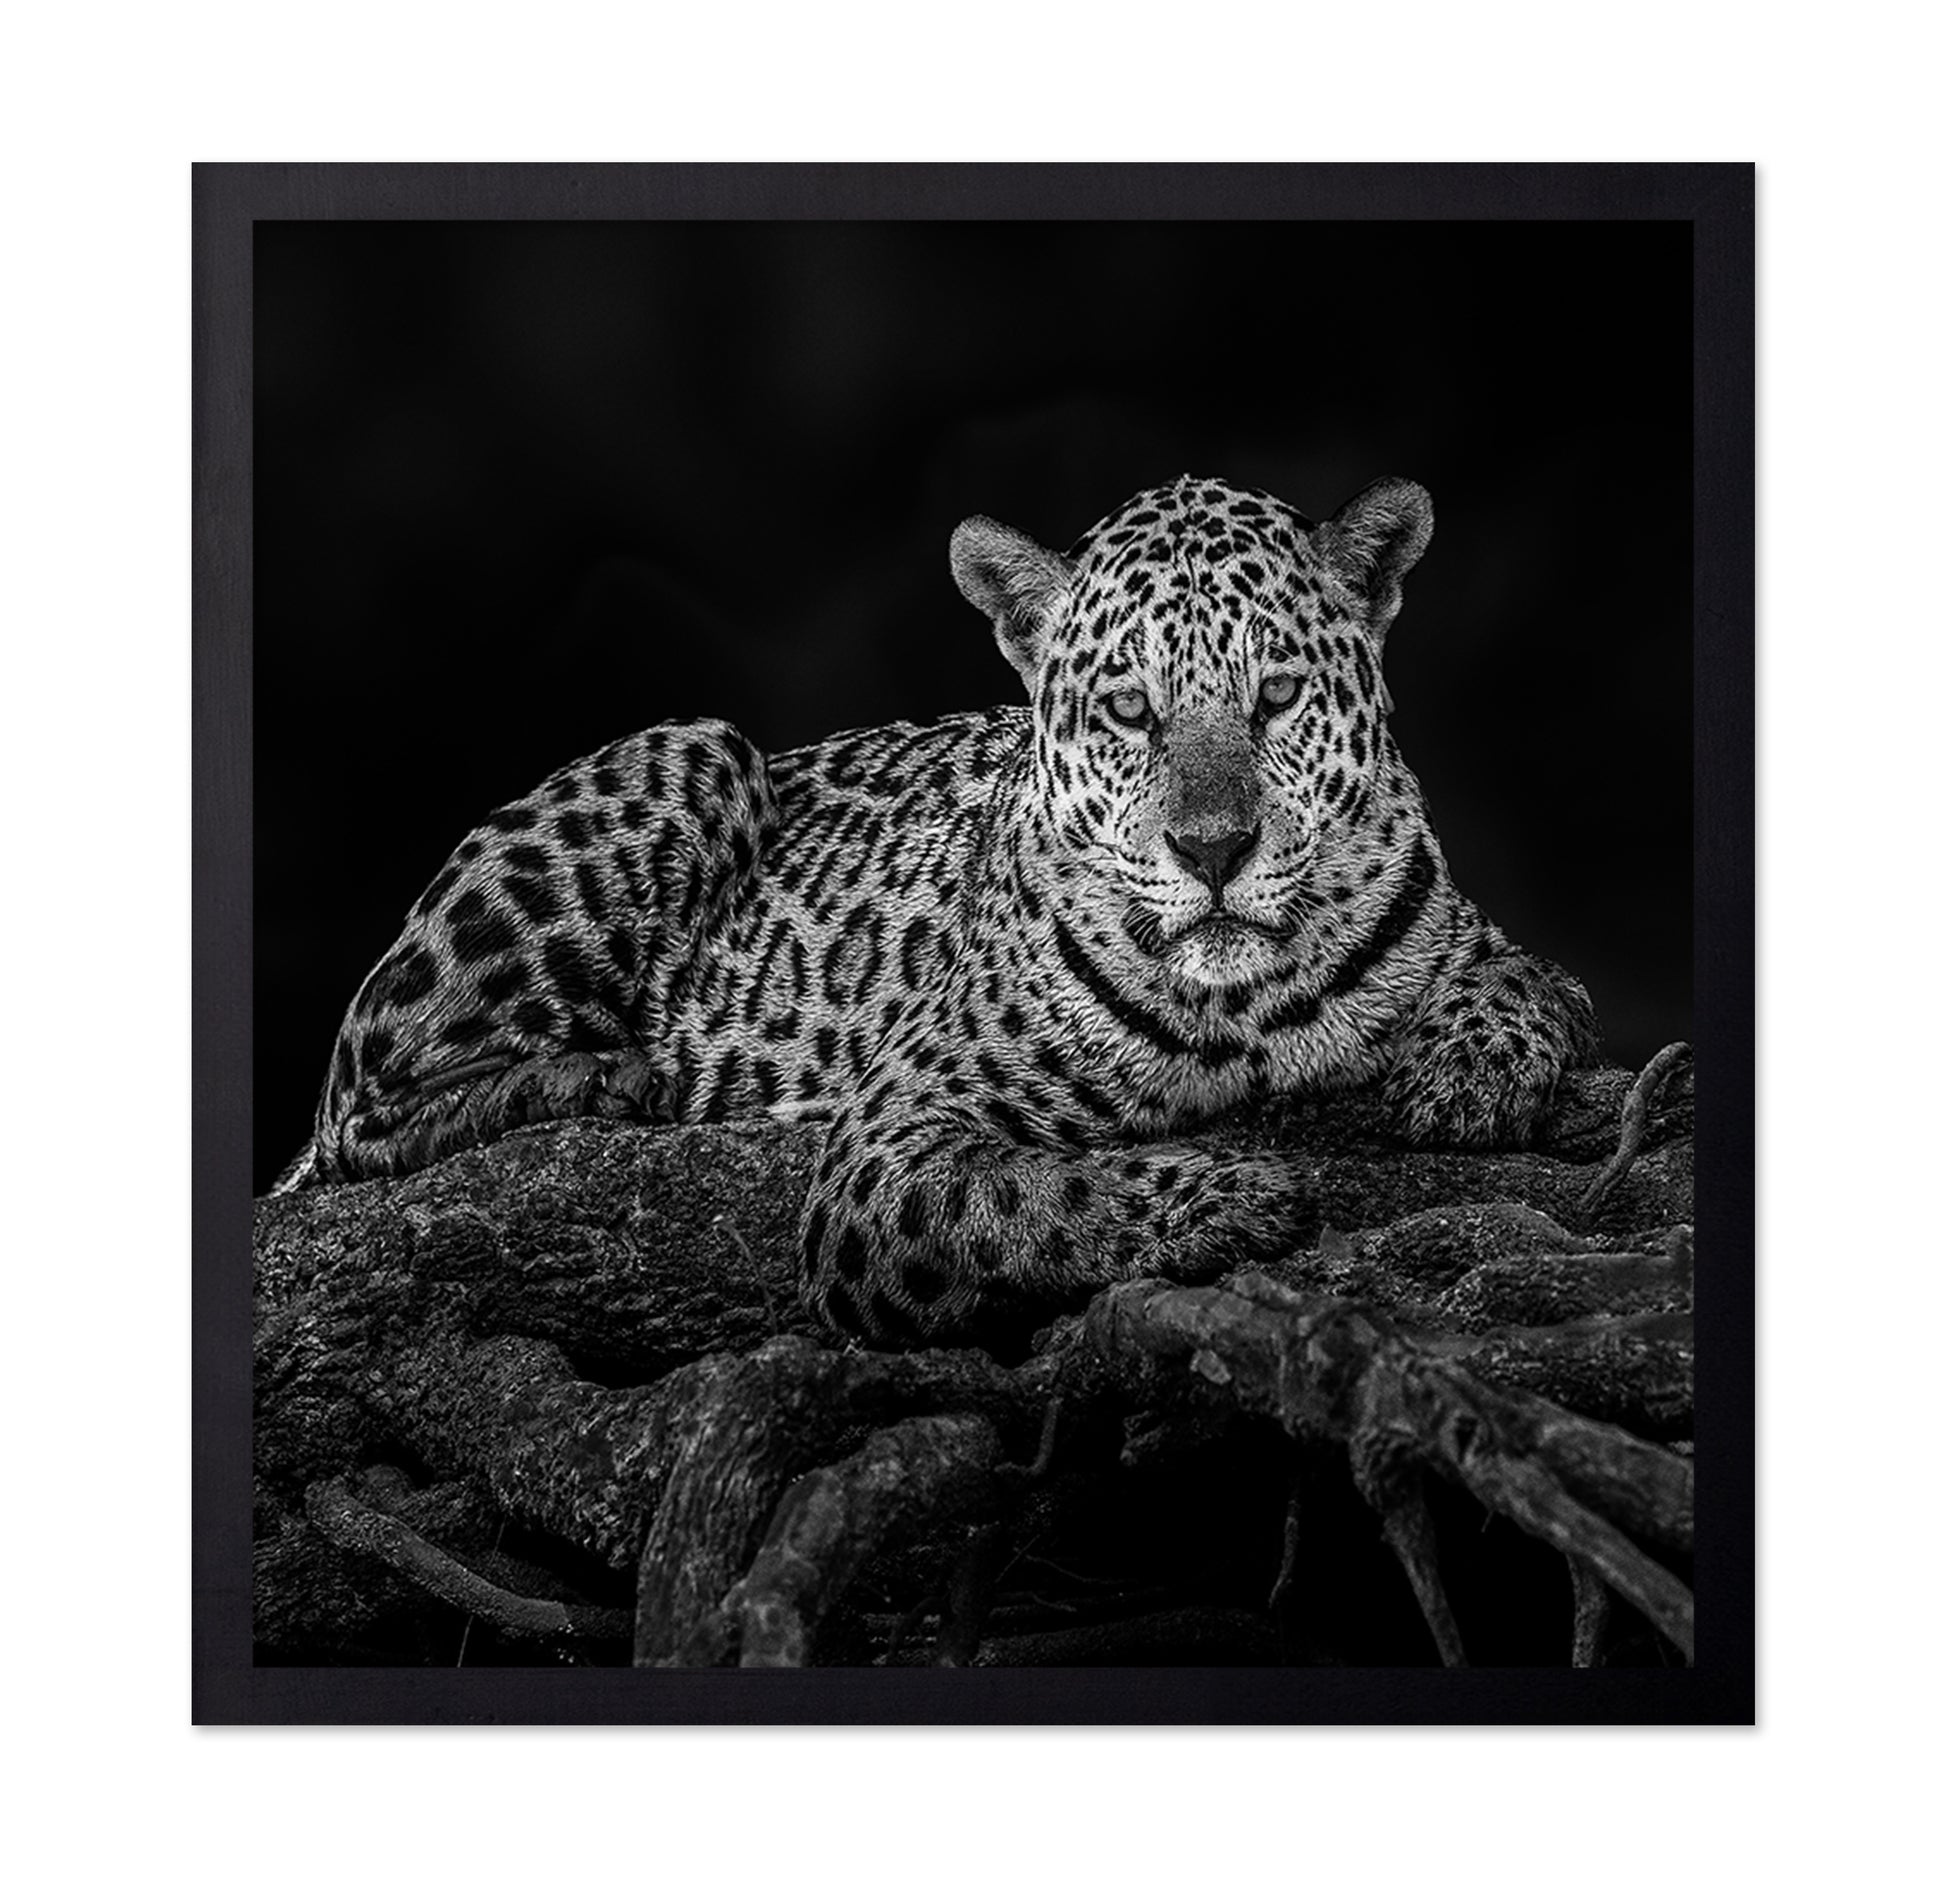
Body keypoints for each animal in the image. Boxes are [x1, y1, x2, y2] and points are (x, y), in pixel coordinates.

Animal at [272, 473, 1599, 1348]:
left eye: (1273, 695)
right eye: (1128, 710)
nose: (1213, 849)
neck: (1246, 1004)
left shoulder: (1482, 940)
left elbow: (1530, 980)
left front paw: (1466, 1073)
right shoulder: (884, 1151)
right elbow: (1031, 1197)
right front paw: (1225, 1194)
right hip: (693, 748)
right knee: (357, 1112)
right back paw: (614, 1078)